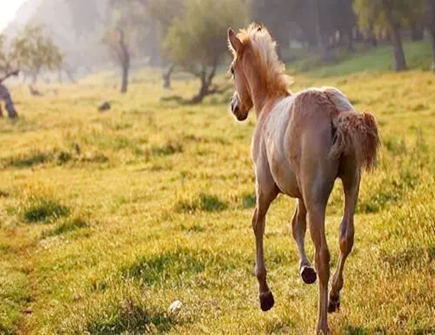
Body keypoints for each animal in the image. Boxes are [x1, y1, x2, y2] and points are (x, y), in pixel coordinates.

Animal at [227, 23, 380, 334]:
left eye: (232, 70)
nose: (235, 108)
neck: (268, 105)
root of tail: (335, 110)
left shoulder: (266, 187)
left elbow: (258, 223)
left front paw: (265, 296)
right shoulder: (301, 193)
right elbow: (296, 224)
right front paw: (304, 270)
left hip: (317, 196)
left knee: (324, 252)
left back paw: (321, 323)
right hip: (350, 184)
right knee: (346, 237)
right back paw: (333, 298)